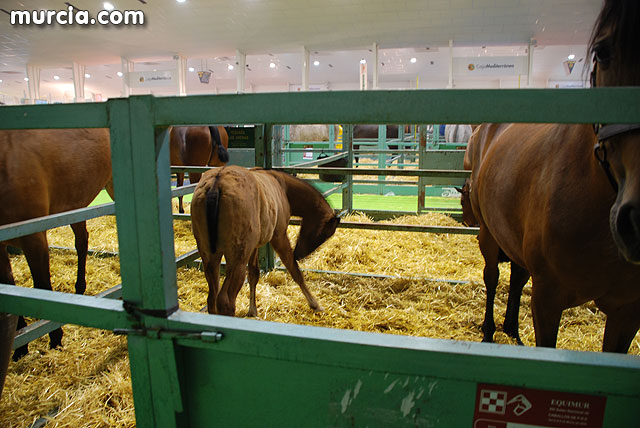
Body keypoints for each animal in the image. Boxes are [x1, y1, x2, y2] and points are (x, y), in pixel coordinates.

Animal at [0, 128, 114, 362]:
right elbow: (10, 288)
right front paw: (20, 346)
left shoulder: (34, 236)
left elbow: (43, 286)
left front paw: (55, 338)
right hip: (76, 202)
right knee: (82, 241)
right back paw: (79, 289)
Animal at [190, 166, 340, 316]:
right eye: (324, 234)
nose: (298, 254)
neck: (282, 185)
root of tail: (216, 184)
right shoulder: (279, 237)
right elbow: (294, 270)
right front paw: (314, 304)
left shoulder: (253, 247)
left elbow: (254, 274)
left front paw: (252, 310)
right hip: (237, 260)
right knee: (225, 300)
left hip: (210, 258)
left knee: (212, 298)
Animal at [468, 0, 640, 352]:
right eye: (603, 52)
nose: (637, 217)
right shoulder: (548, 297)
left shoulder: (628, 312)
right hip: (489, 233)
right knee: (492, 277)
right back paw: (490, 330)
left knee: (517, 275)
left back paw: (512, 330)